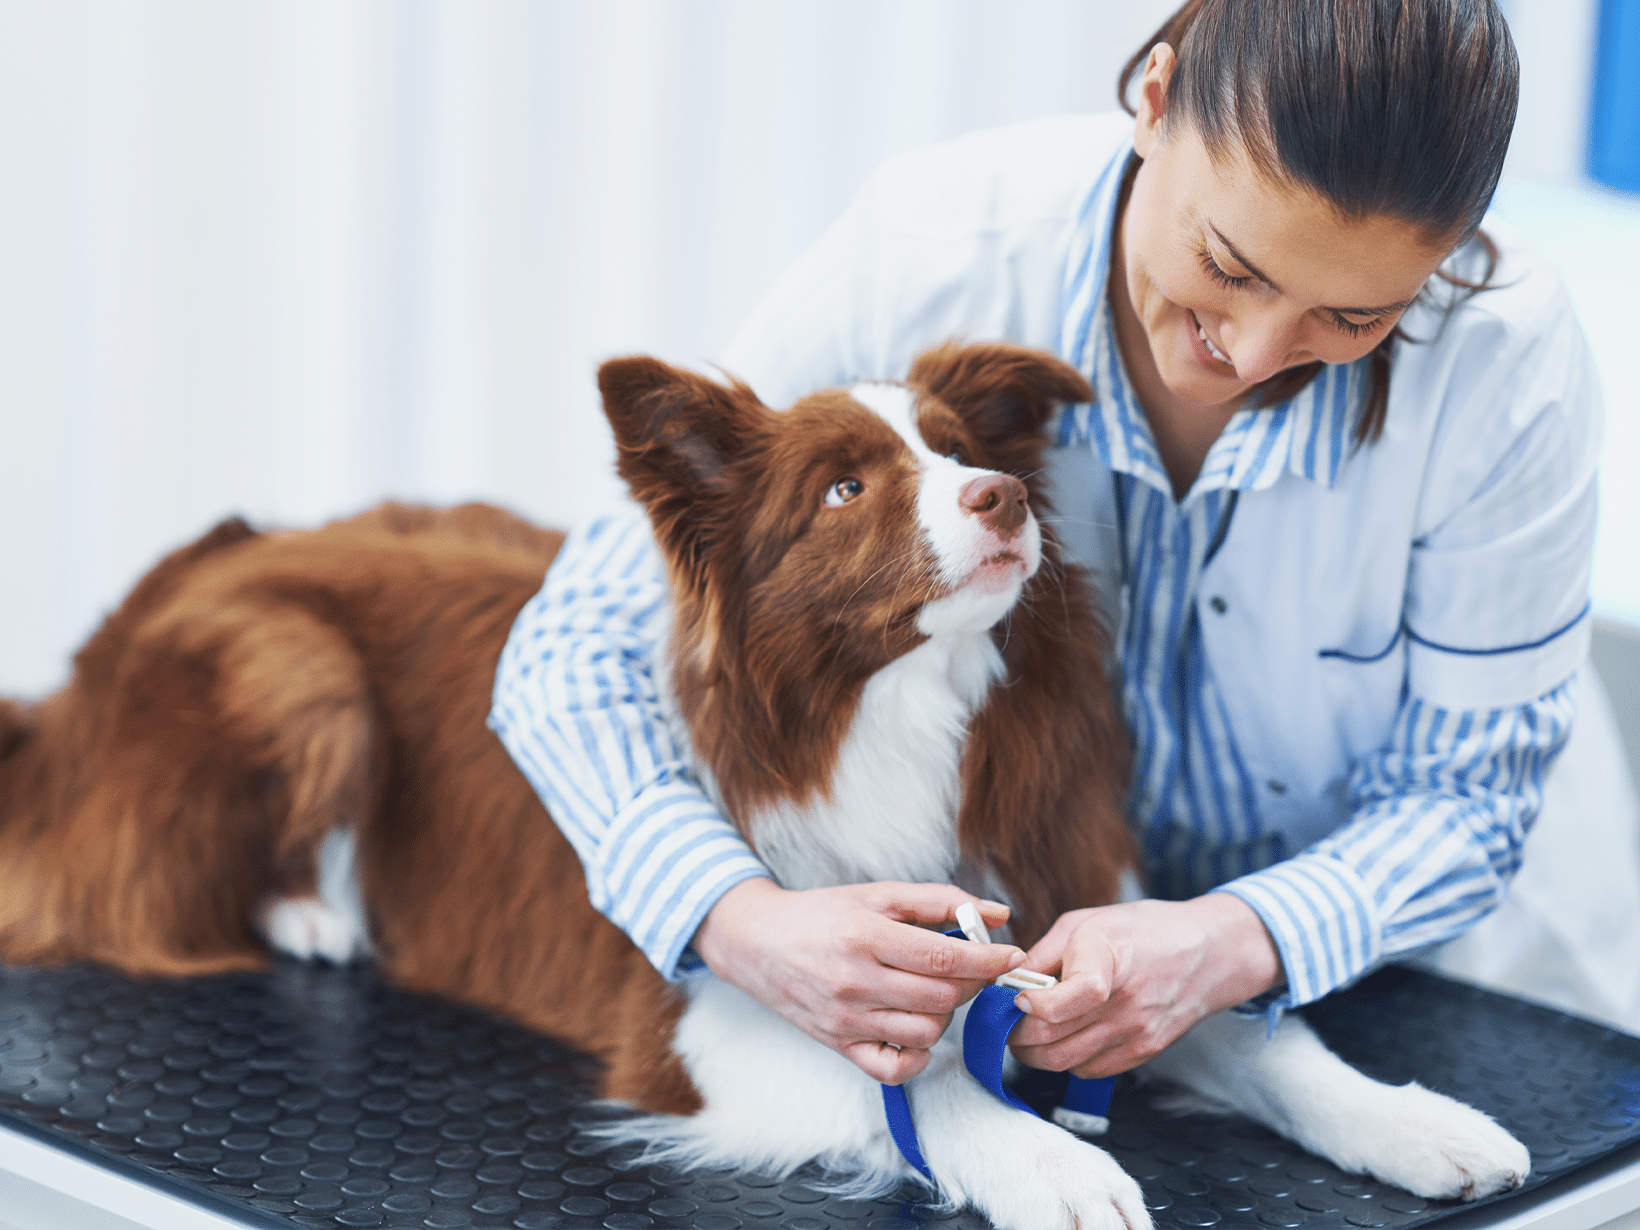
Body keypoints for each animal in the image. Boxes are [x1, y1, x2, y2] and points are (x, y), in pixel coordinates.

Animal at [3, 342, 1535, 1226]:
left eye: (961, 448)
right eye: (846, 490)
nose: (999, 497)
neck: (893, 714)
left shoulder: (1061, 916)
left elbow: (1256, 1031)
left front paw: (1413, 1118)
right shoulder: (705, 1014)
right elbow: (908, 1085)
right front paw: (1050, 1164)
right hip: (297, 668)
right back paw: (320, 913)